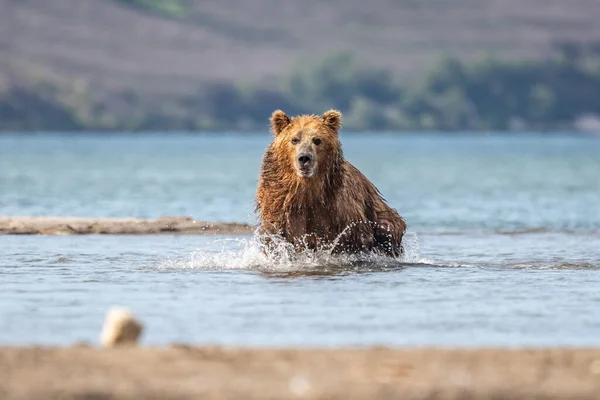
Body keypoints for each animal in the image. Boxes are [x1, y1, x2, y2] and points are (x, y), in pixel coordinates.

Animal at [254, 109, 408, 258]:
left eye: (317, 140)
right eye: (294, 139)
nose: (304, 158)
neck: (306, 191)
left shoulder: (337, 209)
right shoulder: (279, 201)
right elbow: (274, 235)